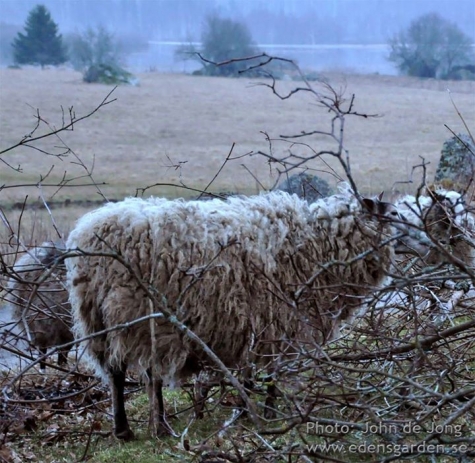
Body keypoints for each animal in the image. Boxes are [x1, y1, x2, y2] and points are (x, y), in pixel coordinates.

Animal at [65, 188, 430, 442]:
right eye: (396, 213)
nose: (429, 243)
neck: (320, 247)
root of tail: (92, 230)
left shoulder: (259, 321)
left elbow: (253, 372)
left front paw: (245, 409)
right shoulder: (279, 319)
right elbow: (273, 372)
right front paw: (268, 412)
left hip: (97, 317)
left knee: (115, 373)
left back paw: (124, 429)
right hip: (143, 316)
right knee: (147, 375)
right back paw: (159, 427)